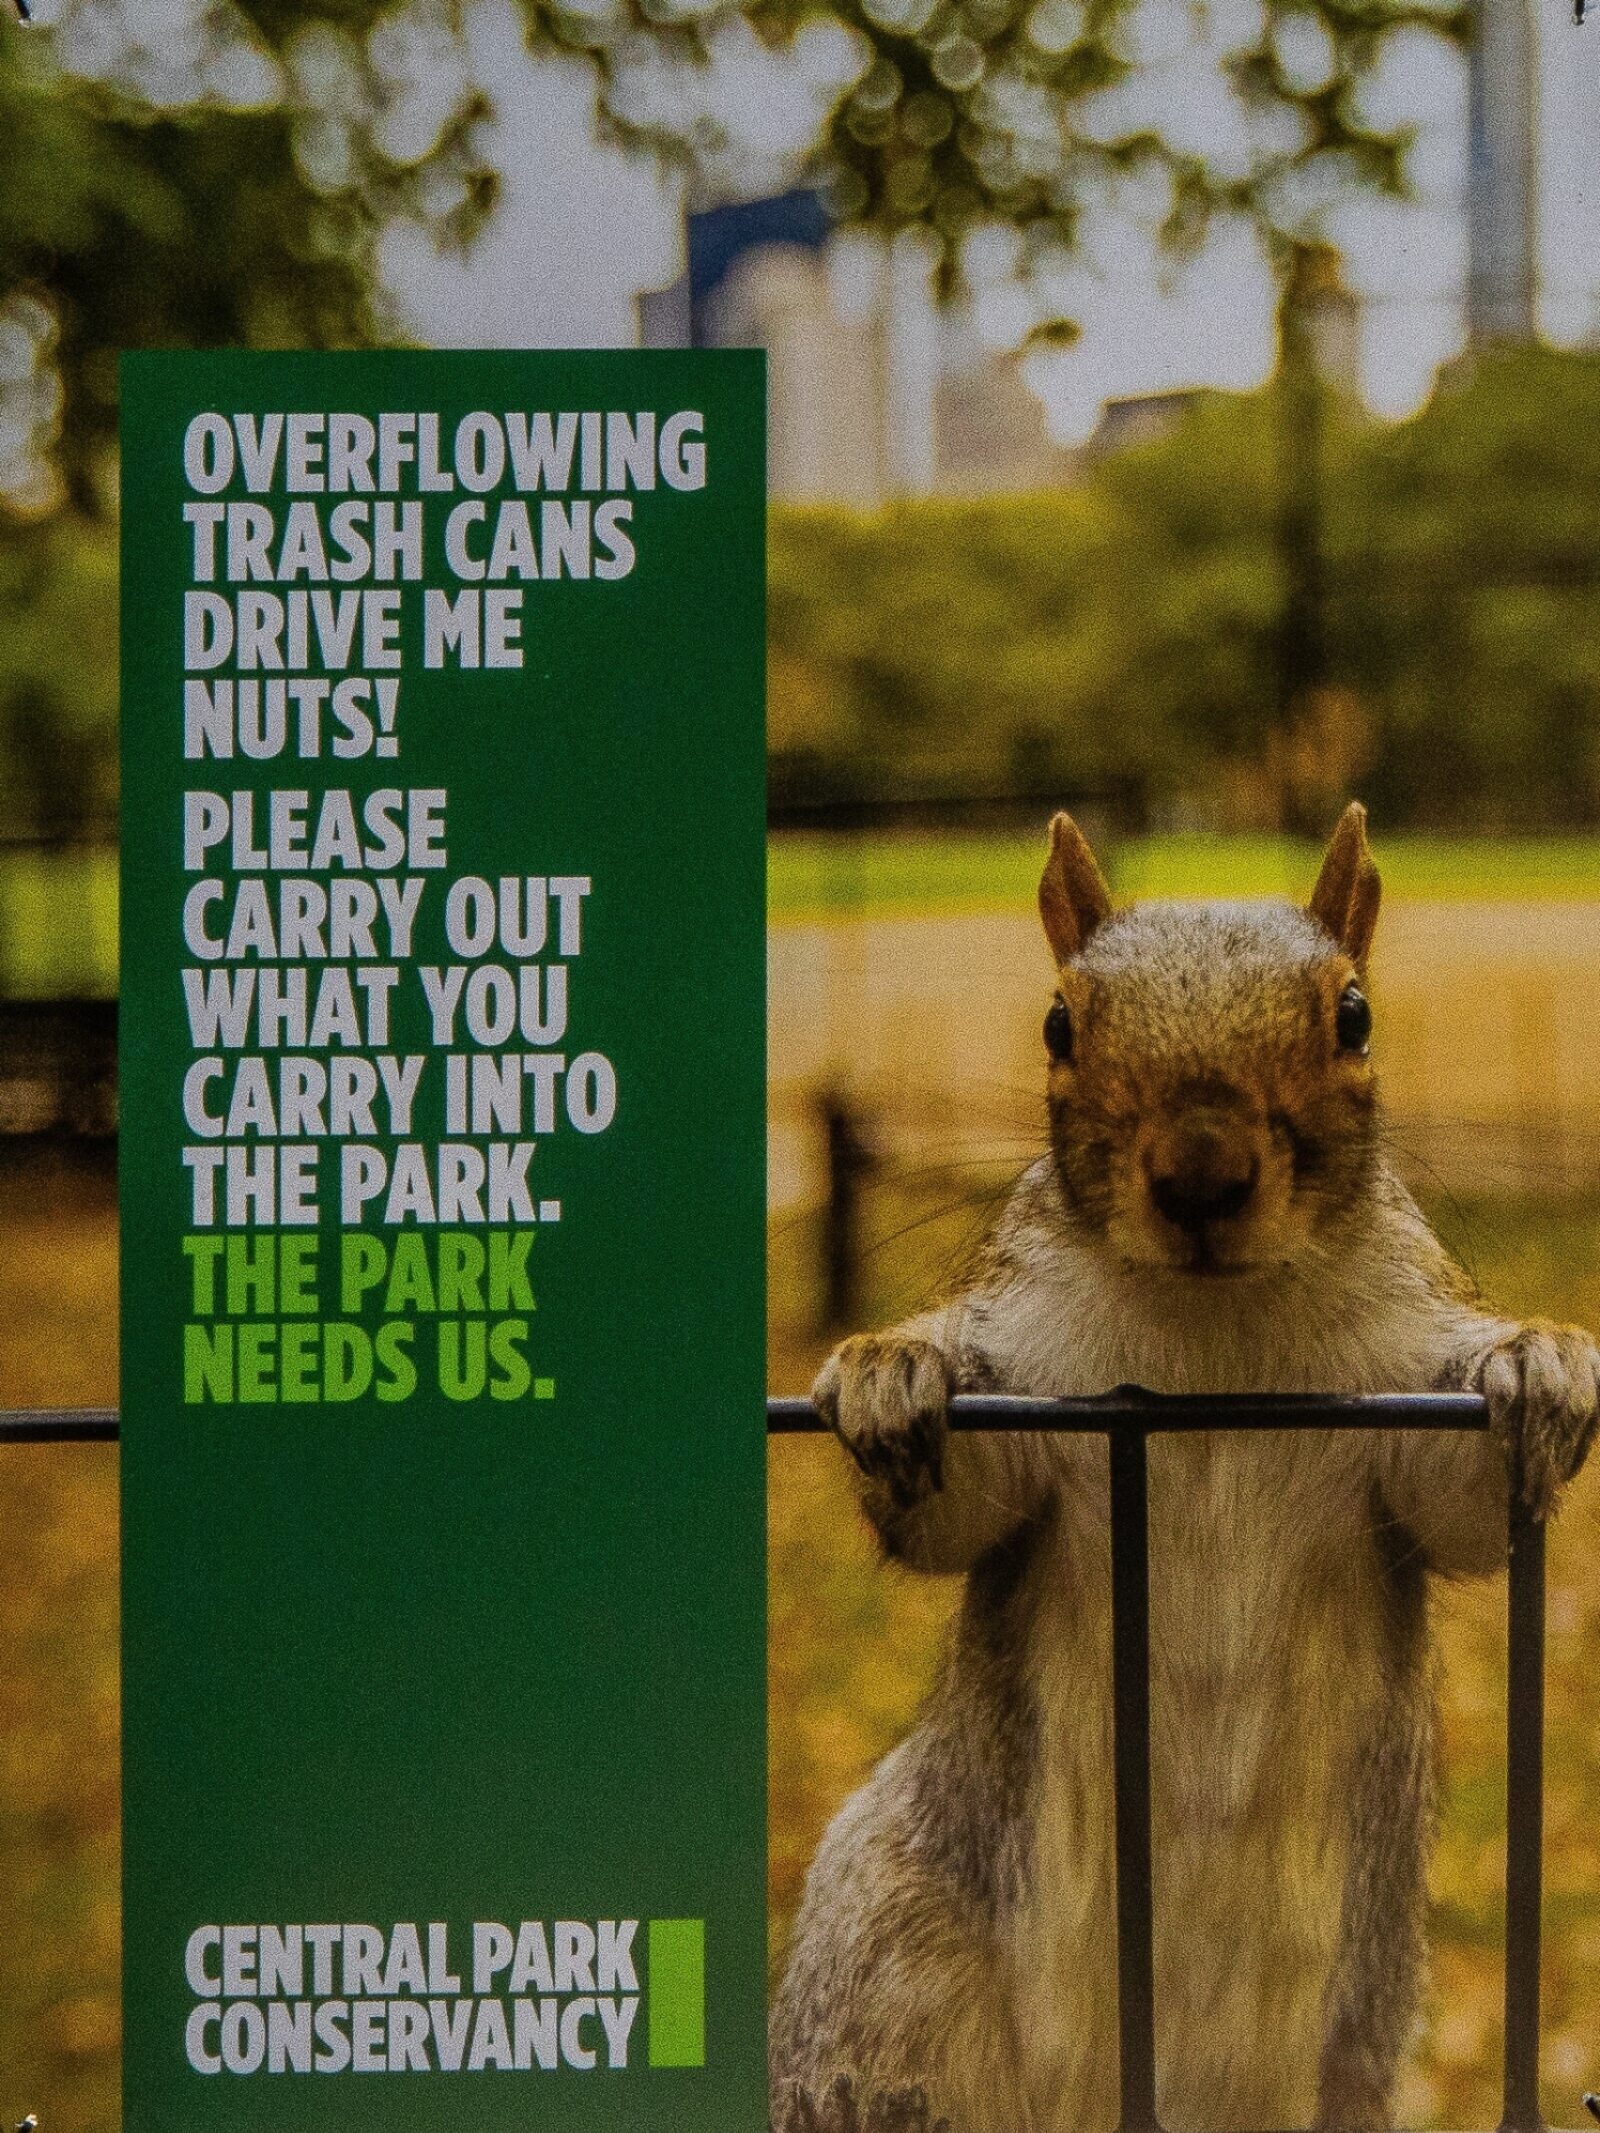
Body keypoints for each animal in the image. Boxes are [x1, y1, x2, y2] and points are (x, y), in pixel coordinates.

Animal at [770, 804, 1600, 2133]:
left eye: (1354, 1015)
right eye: (1057, 1023)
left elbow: (1466, 1501)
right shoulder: (1035, 1386)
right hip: (889, 1966)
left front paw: (1535, 1361)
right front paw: (893, 1372)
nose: (1201, 1175)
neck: (1211, 1330)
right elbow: (954, 1512)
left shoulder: (1395, 1412)